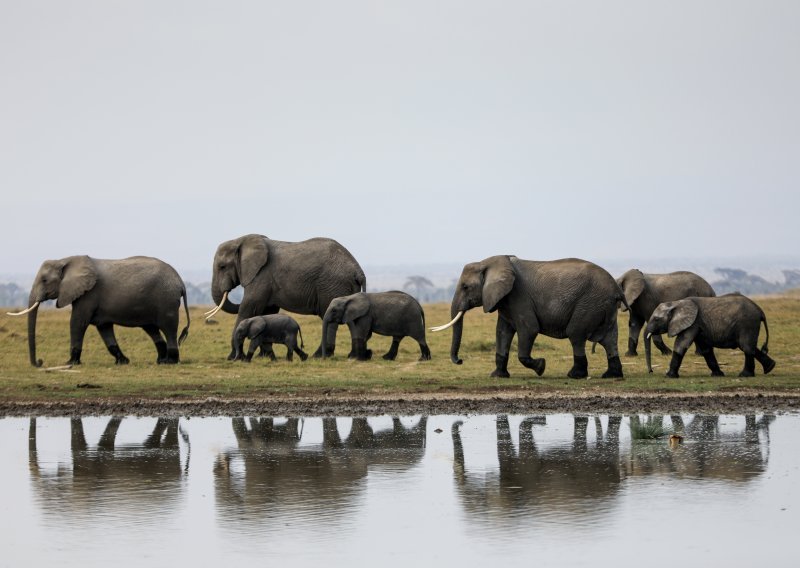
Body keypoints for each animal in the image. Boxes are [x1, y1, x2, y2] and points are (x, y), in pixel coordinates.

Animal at [7, 255, 191, 366]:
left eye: (45, 280)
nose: (40, 362)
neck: (65, 259)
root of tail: (181, 282)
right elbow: (104, 328)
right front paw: (123, 362)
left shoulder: (88, 294)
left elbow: (77, 322)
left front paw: (70, 363)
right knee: (151, 329)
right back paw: (160, 360)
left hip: (166, 300)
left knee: (168, 328)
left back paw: (170, 361)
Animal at [206, 234, 368, 360]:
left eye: (222, 267)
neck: (241, 240)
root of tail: (358, 270)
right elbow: (268, 311)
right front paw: (262, 356)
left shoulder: (261, 276)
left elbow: (249, 307)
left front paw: (233, 357)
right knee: (351, 320)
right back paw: (351, 356)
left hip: (331, 285)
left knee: (331, 319)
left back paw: (319, 356)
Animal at [434, 255, 628, 380]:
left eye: (465, 287)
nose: (460, 361)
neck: (488, 263)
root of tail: (616, 288)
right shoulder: (505, 301)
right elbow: (502, 332)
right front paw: (497, 376)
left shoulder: (519, 297)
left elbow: (529, 329)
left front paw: (541, 367)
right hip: (604, 306)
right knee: (609, 339)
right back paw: (611, 376)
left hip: (589, 303)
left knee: (576, 334)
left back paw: (575, 375)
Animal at [644, 292, 776, 378]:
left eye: (656, 319)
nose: (651, 371)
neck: (676, 303)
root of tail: (760, 311)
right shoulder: (699, 325)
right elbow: (706, 350)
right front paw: (717, 375)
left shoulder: (693, 323)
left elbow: (681, 345)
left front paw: (669, 376)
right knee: (750, 347)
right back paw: (770, 368)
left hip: (747, 323)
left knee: (746, 347)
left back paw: (745, 375)